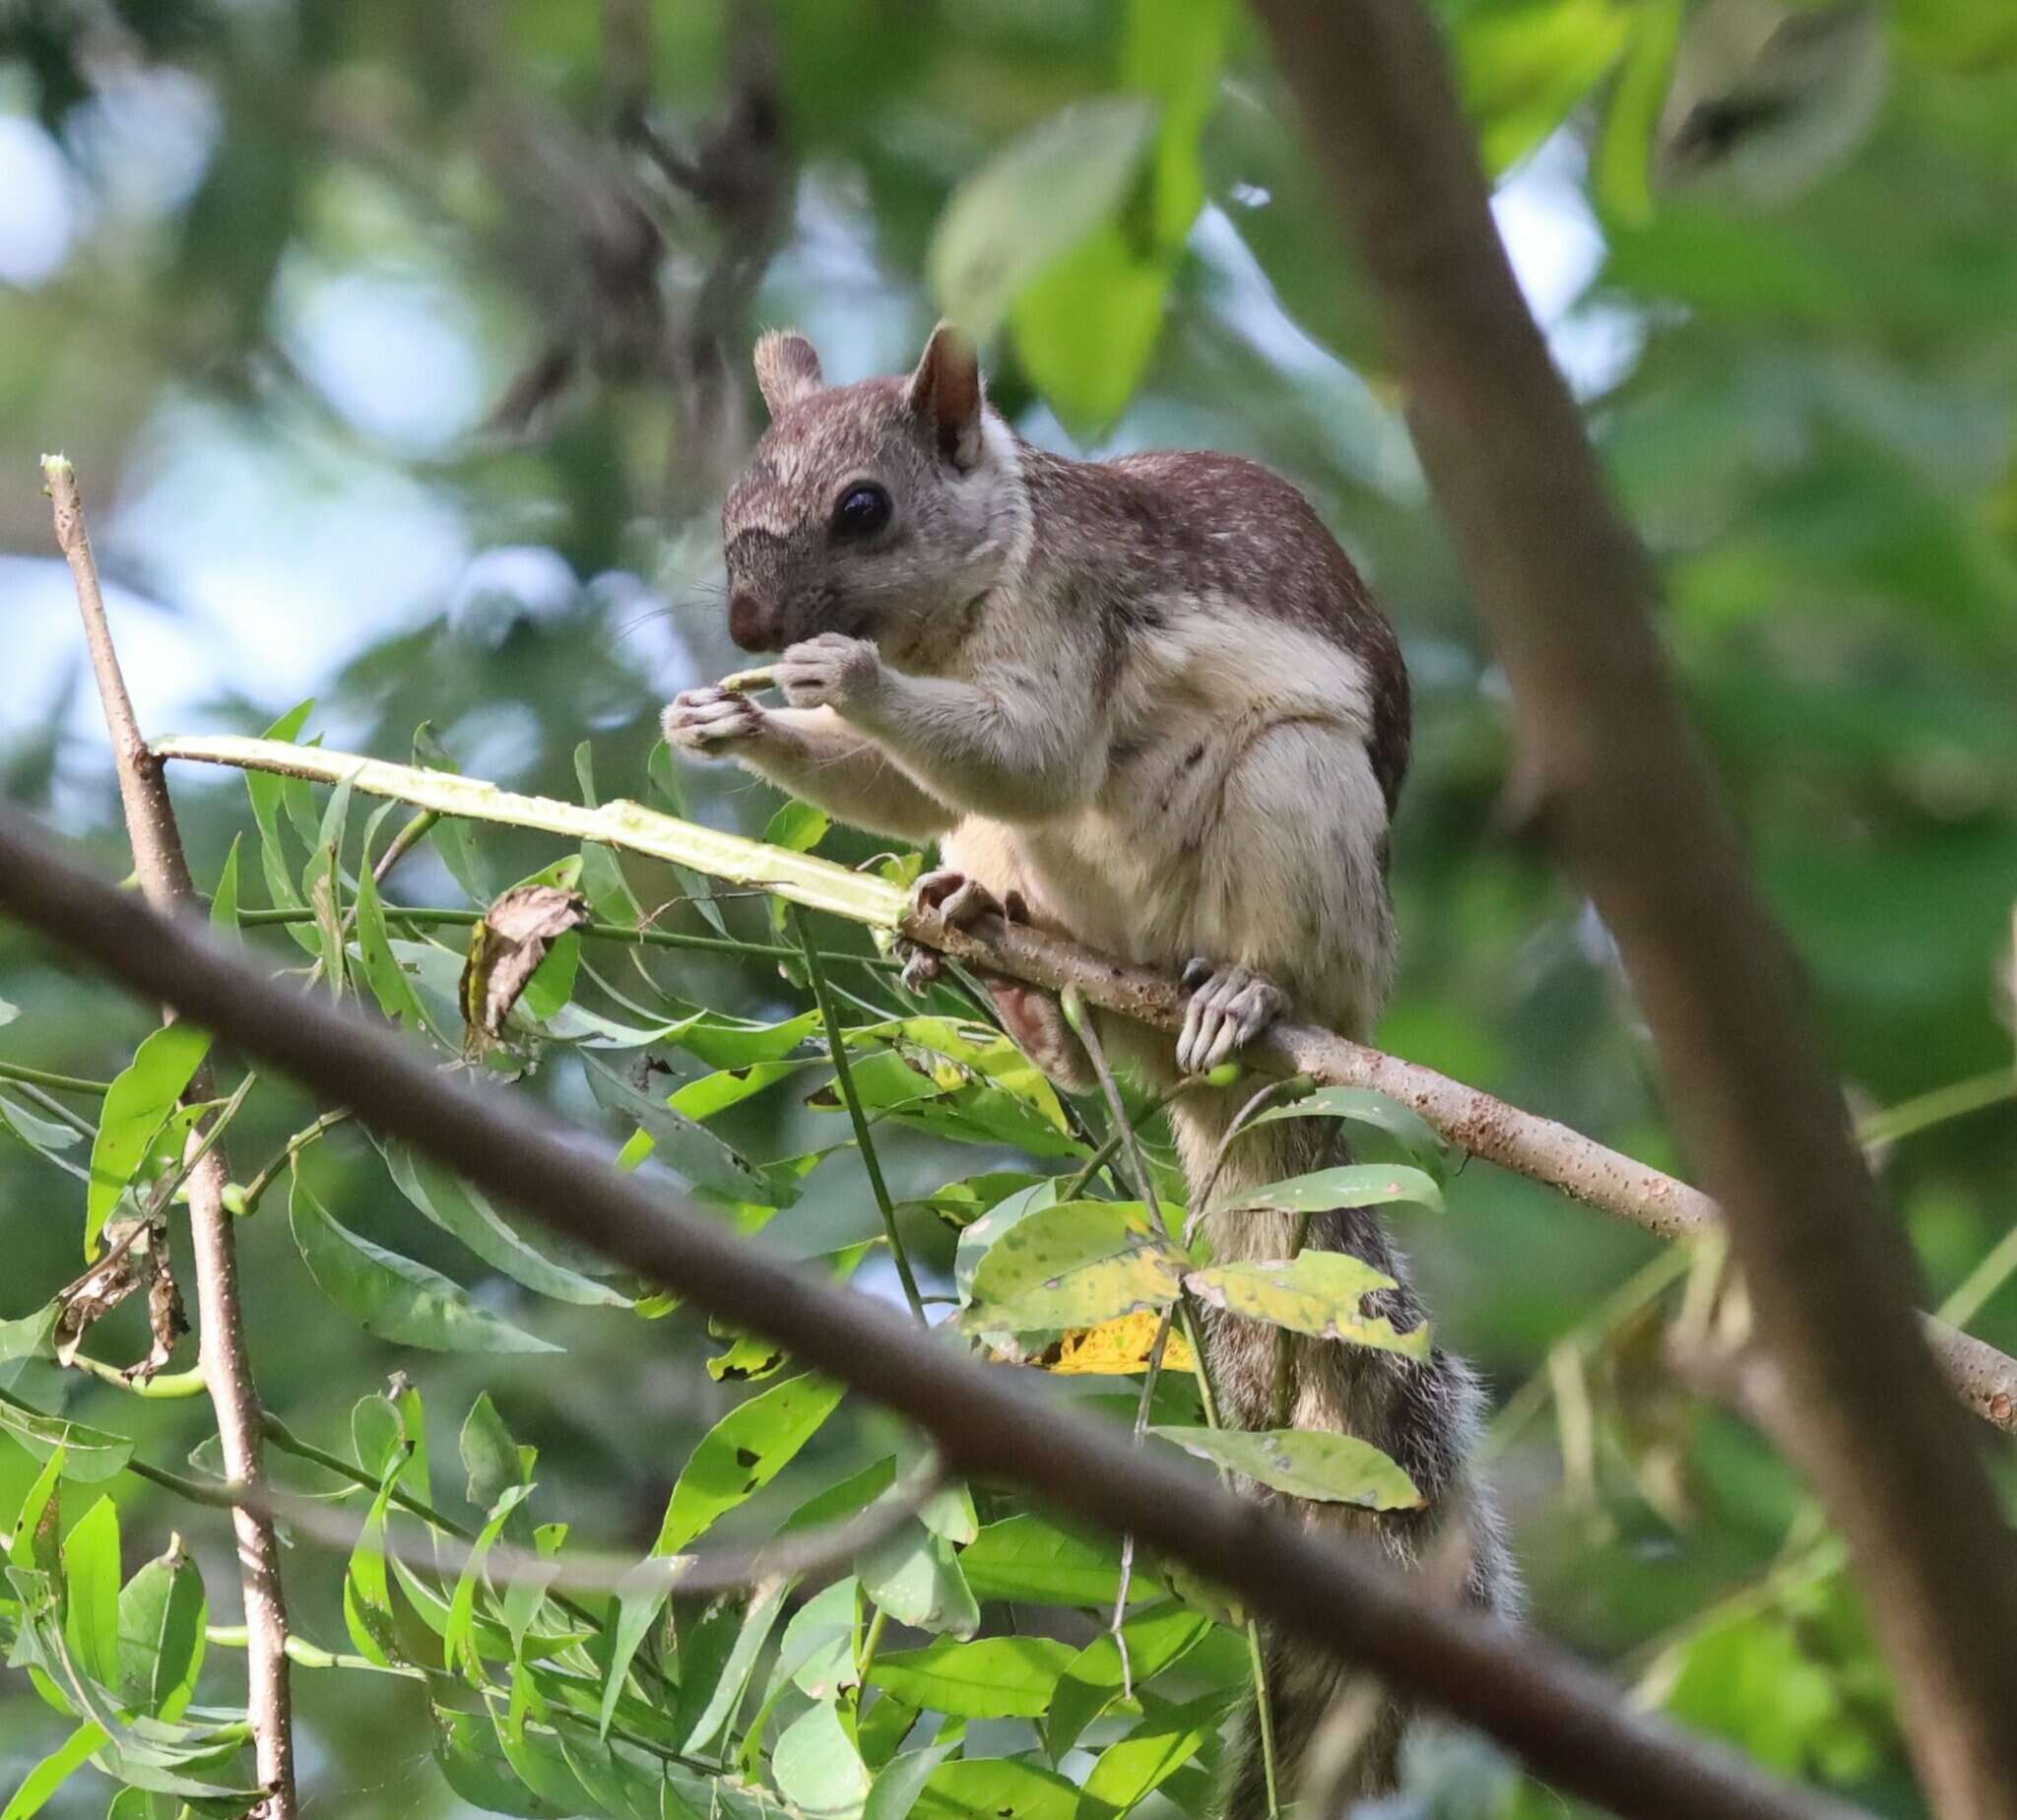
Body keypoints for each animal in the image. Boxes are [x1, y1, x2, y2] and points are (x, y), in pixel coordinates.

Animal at [665, 324, 1517, 1807]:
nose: (753, 633)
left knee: (1260, 944)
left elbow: (1039, 751)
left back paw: (1238, 993)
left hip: (1301, 809)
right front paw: (731, 722)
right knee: (986, 866)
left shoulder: (1069, 615)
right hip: (1038, 885)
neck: (970, 583)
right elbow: (913, 784)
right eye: (736, 495)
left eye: (864, 508)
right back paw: (988, 953)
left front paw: (843, 685)